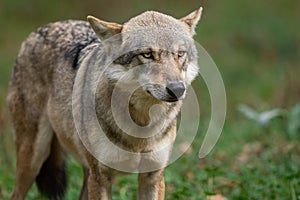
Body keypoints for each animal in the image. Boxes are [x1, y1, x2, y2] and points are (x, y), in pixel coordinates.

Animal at [7, 7, 203, 199]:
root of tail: (40, 29)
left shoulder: (153, 177)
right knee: (15, 194)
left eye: (180, 54)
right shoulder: (101, 177)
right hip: (34, 159)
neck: (140, 128)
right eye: (147, 54)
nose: (177, 89)